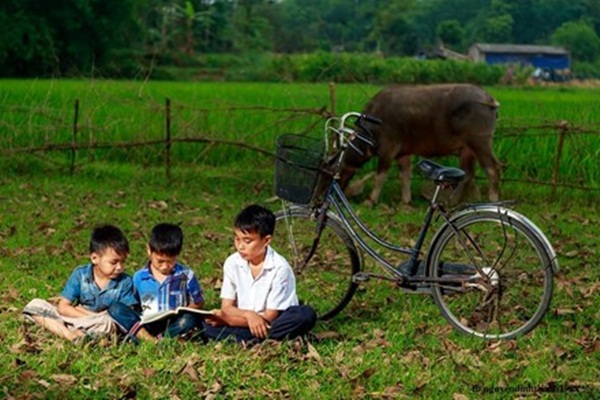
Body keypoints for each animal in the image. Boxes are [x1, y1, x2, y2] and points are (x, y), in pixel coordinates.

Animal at [340, 83, 500, 205]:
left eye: (335, 163)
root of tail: (488, 98)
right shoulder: (403, 153)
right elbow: (405, 175)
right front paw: (405, 201)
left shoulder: (388, 150)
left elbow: (380, 176)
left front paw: (369, 201)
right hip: (467, 149)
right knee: (467, 174)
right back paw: (451, 201)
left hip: (481, 142)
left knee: (492, 168)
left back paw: (493, 199)